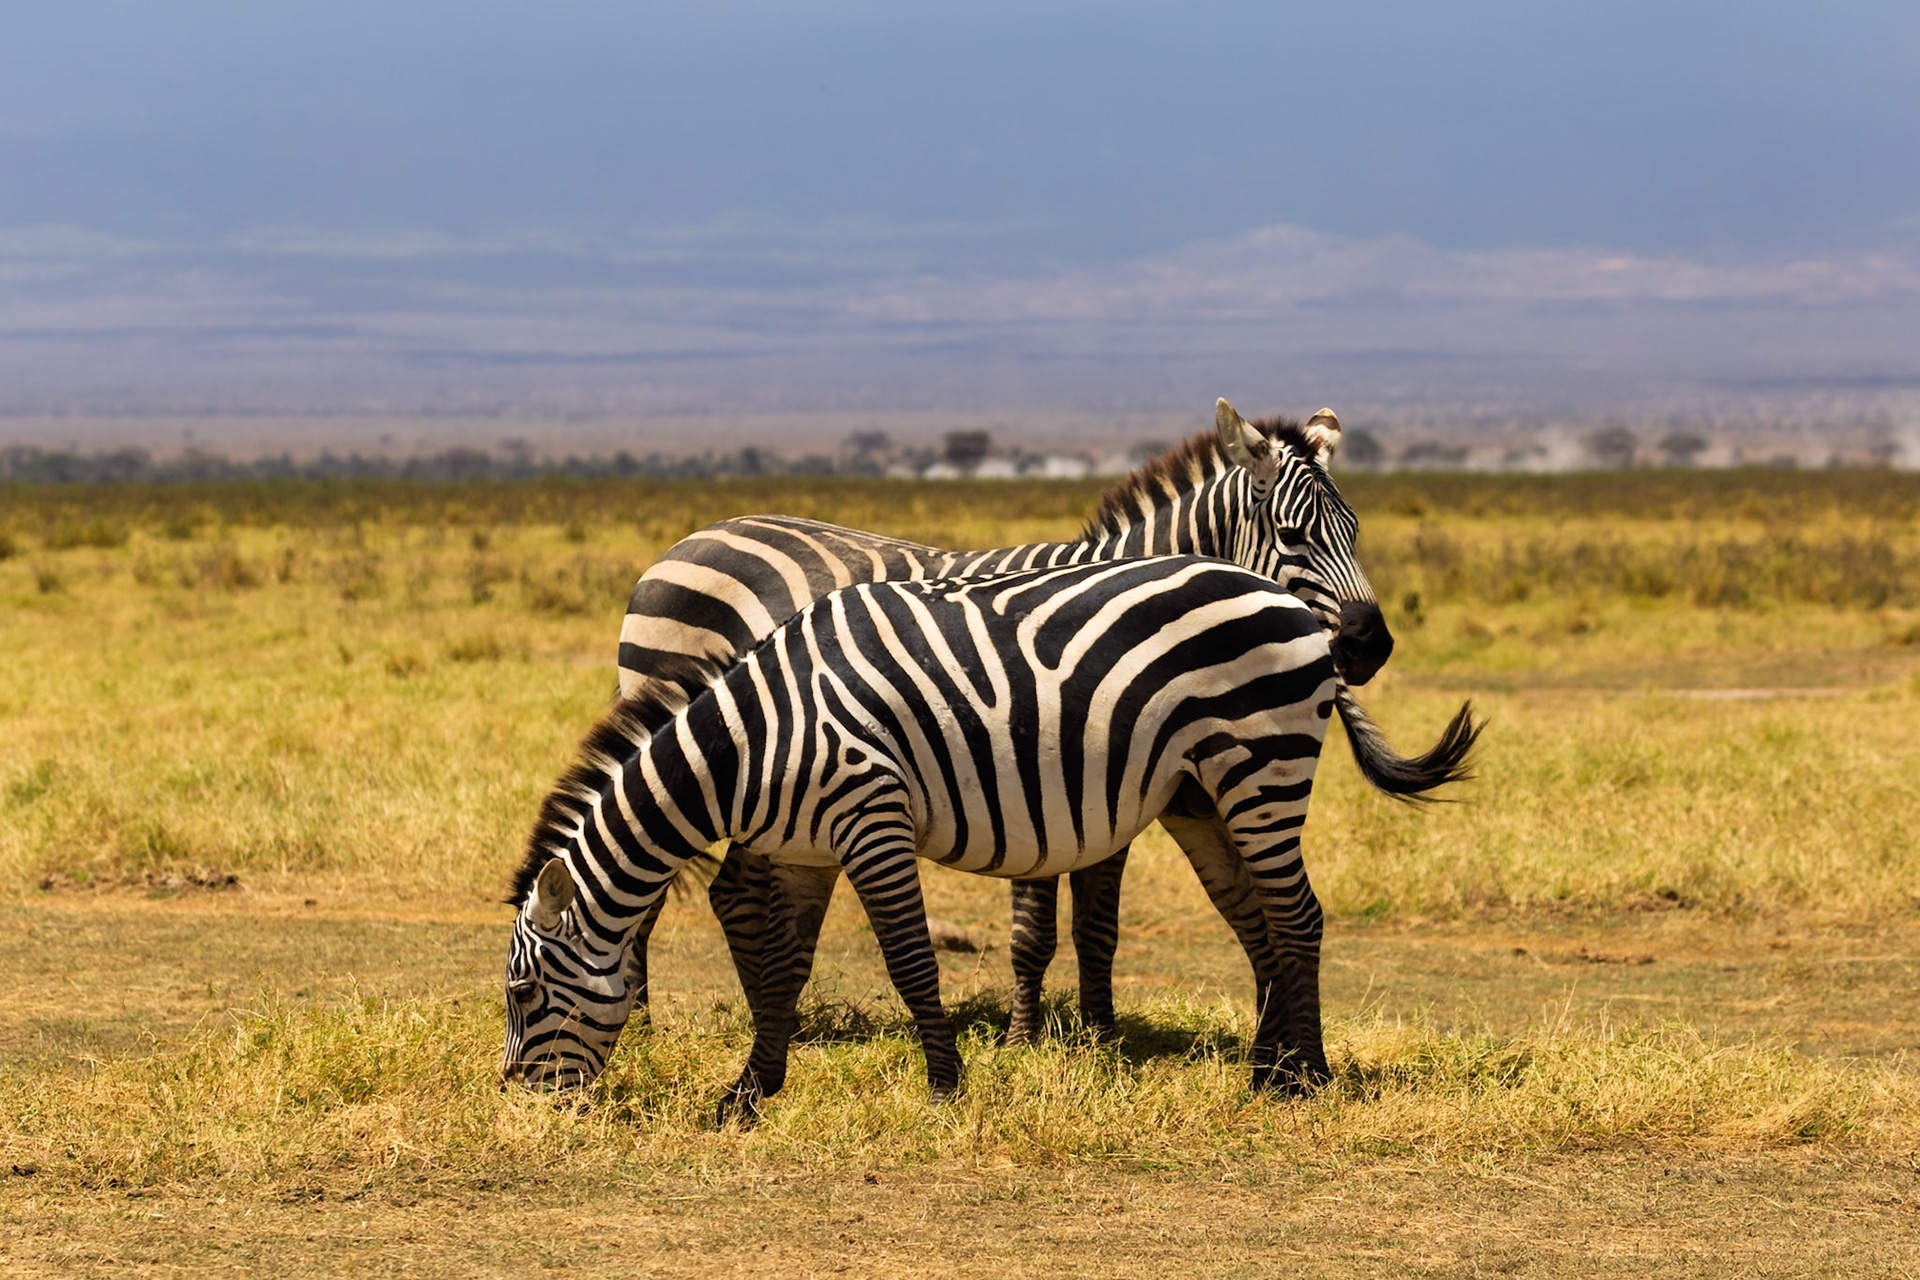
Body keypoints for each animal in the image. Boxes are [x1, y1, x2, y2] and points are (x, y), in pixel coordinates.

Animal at [501, 555, 1479, 1116]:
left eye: (520, 995)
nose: (518, 1103)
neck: (754, 743)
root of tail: (1286, 596)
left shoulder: (871, 818)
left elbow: (909, 961)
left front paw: (944, 1086)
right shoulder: (801, 848)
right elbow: (781, 967)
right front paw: (748, 1094)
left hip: (1263, 760)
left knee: (1300, 915)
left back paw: (1306, 1080)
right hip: (1202, 791)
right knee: (1261, 920)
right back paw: (1267, 1071)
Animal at [611, 400, 1397, 1043]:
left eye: (1358, 530)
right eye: (1292, 536)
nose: (1370, 645)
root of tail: (689, 540)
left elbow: (1096, 924)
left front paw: (1100, 1035)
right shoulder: (1043, 764)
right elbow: (1035, 930)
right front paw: (1025, 1040)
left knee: (720, 888)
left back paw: (772, 1021)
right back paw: (644, 1024)